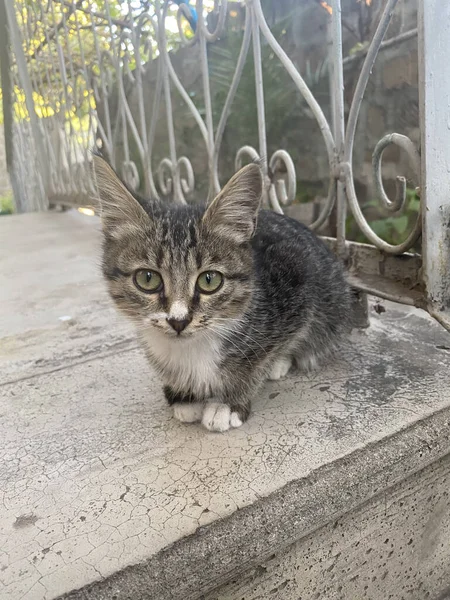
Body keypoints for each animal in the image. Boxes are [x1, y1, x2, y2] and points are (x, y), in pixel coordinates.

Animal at [92, 156, 352, 432]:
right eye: (147, 279)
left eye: (209, 280)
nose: (178, 321)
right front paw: (184, 395)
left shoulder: (297, 281)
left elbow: (259, 360)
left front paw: (228, 402)